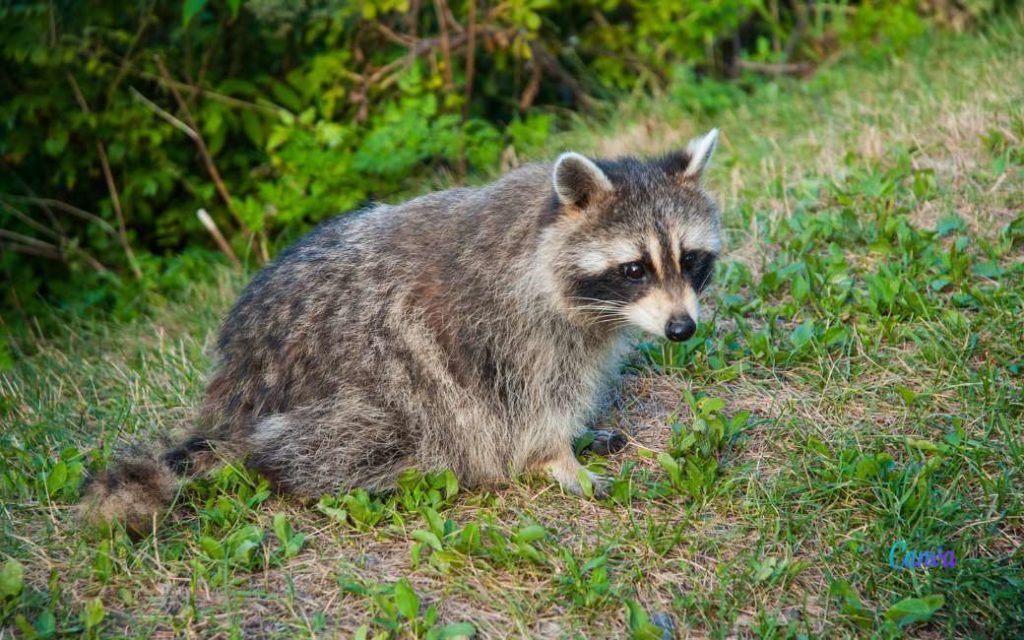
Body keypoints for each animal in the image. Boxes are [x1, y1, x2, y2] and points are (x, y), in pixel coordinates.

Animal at [77, 127, 720, 532]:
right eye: (634, 269)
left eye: (690, 260)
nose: (682, 329)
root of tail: (232, 389)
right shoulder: (507, 327)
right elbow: (528, 403)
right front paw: (556, 457)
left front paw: (577, 435)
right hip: (351, 391)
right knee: (358, 439)